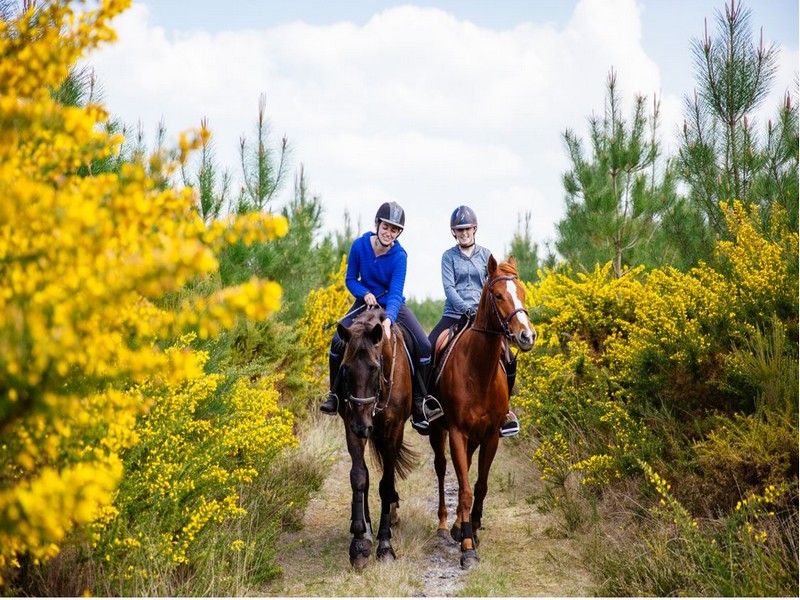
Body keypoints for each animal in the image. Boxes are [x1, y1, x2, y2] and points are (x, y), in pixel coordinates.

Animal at [334, 308, 416, 568]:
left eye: (374, 368)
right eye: (346, 368)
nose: (363, 426)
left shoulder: (394, 431)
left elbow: (386, 484)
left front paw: (385, 545)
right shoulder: (351, 428)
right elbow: (360, 478)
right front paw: (359, 543)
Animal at [432, 255, 536, 568]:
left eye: (522, 292)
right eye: (498, 295)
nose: (527, 336)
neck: (477, 371)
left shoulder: (490, 437)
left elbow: (479, 486)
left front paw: (472, 530)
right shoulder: (456, 432)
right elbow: (464, 489)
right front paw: (467, 548)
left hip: (474, 438)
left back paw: (457, 525)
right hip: (438, 431)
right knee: (441, 469)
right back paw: (444, 527)